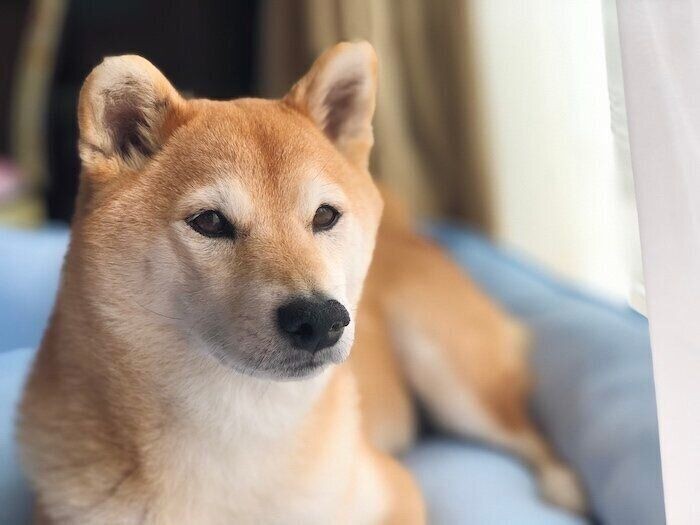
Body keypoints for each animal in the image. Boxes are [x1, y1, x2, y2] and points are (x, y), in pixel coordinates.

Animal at [17, 43, 584, 520]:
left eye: (325, 215)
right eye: (210, 222)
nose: (320, 318)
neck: (240, 433)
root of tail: (412, 233)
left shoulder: (396, 492)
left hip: (452, 371)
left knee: (528, 427)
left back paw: (566, 484)